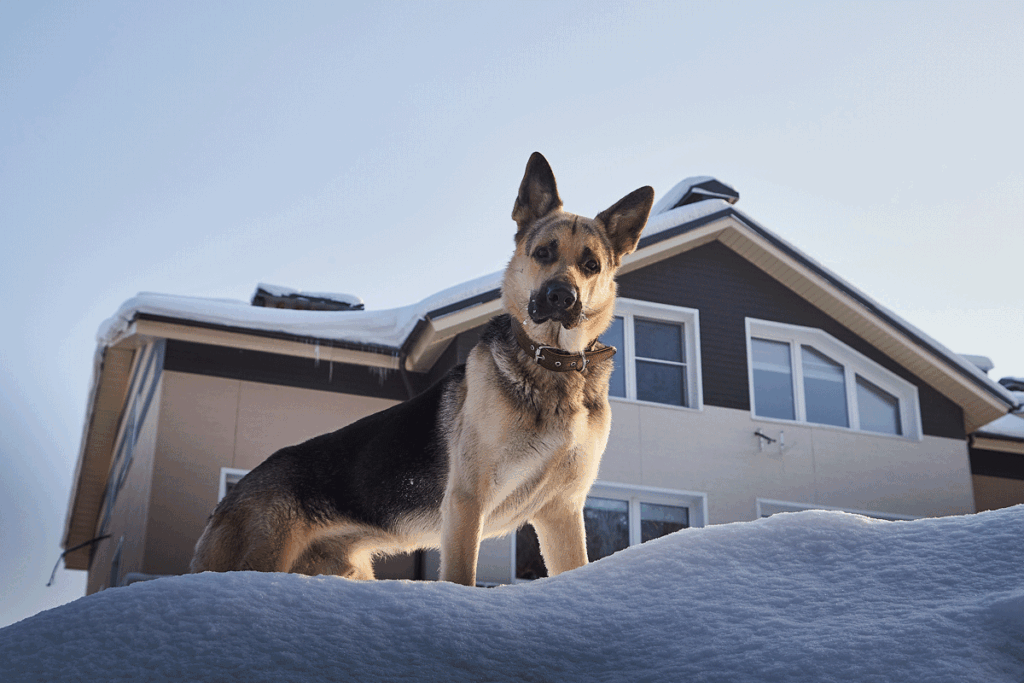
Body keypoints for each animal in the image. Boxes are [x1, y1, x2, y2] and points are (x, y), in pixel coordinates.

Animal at [190, 153, 655, 589]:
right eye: (543, 253)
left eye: (592, 265)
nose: (562, 297)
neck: (552, 363)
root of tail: (229, 498)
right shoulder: (467, 501)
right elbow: (461, 575)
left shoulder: (562, 512)